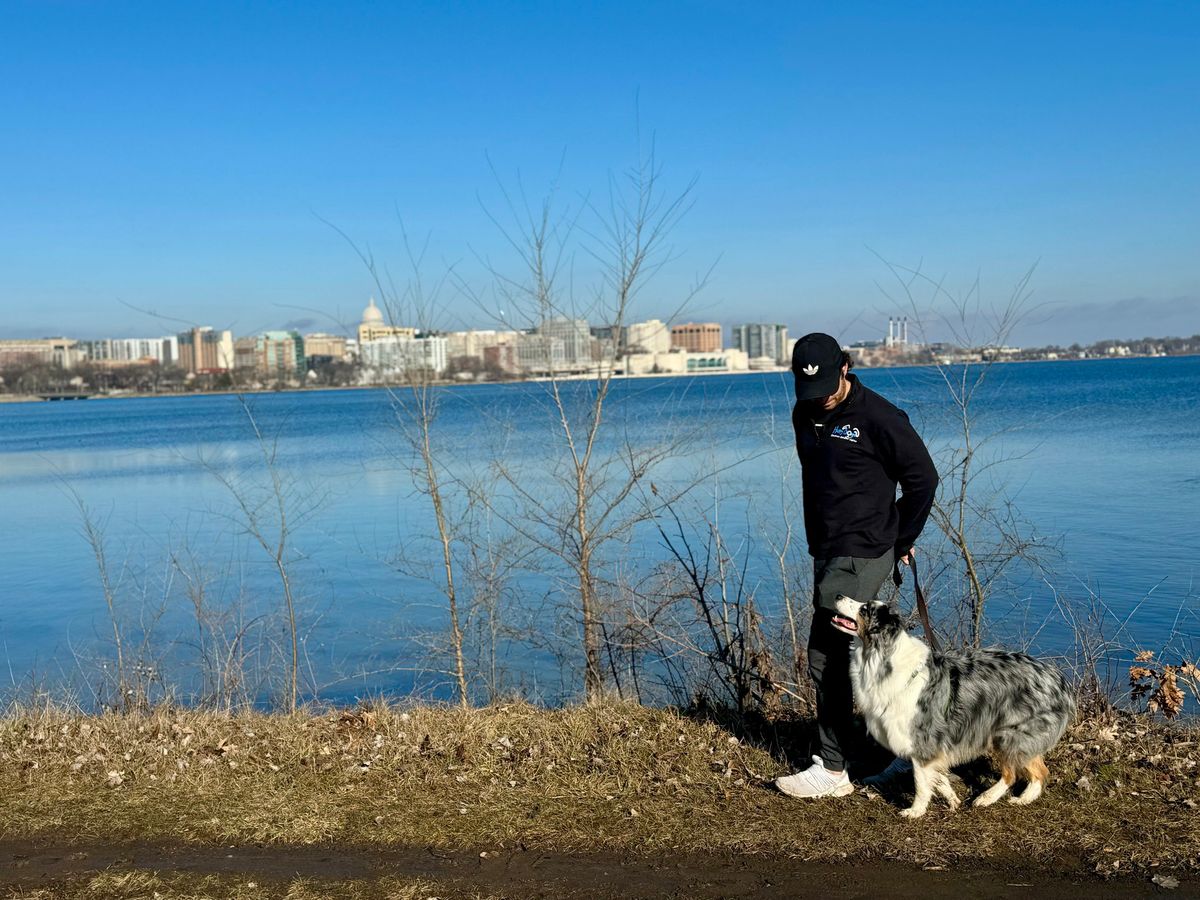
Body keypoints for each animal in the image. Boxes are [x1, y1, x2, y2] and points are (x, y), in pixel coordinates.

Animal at [830, 595, 1075, 820]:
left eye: (865, 609)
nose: (838, 596)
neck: (881, 656)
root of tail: (1058, 678)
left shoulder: (923, 740)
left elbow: (920, 782)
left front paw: (916, 811)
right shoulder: (934, 746)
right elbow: (938, 778)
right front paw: (952, 800)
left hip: (1008, 734)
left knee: (1012, 774)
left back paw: (986, 798)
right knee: (1040, 771)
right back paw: (1024, 799)